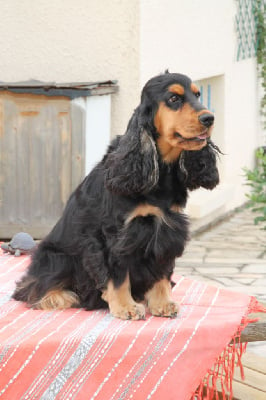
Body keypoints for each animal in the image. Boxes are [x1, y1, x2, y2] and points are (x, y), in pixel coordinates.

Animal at [13, 72, 220, 320]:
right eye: (173, 98)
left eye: (197, 95)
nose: (209, 118)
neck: (160, 169)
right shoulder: (114, 235)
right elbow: (118, 274)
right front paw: (125, 306)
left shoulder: (168, 227)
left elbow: (162, 269)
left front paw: (162, 303)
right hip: (55, 256)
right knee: (31, 286)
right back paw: (59, 296)